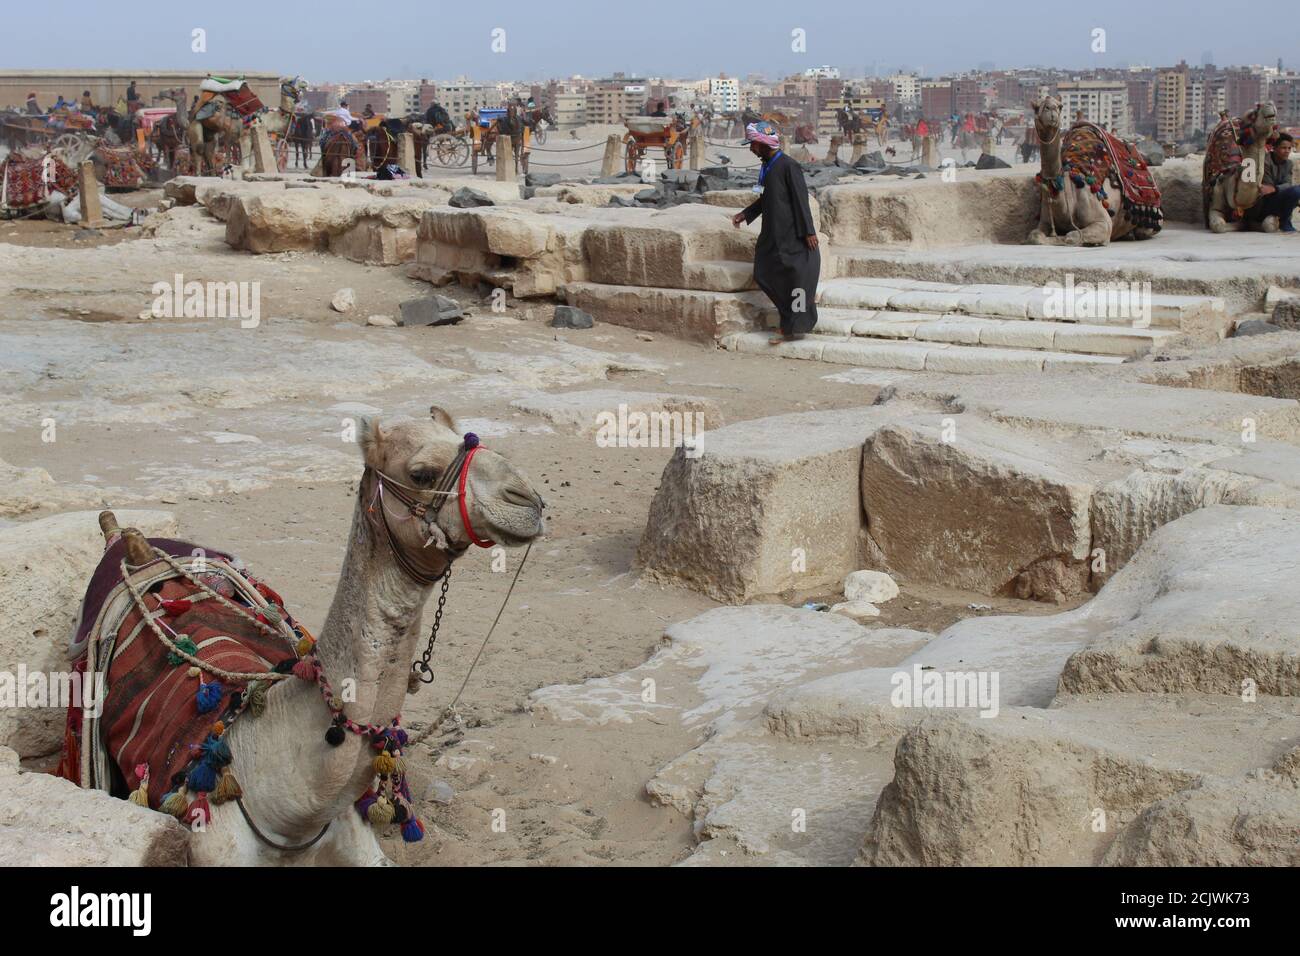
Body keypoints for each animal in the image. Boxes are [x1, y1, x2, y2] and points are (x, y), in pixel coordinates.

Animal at [1029, 95, 1164, 247]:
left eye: (1060, 106)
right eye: (1036, 107)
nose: (1051, 110)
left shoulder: (1103, 221)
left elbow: (1072, 236)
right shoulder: (1045, 221)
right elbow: (1034, 236)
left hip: (1153, 219)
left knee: (1143, 230)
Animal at [1206, 102, 1279, 232]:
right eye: (1251, 115)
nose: (1269, 103)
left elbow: (1269, 224)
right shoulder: (1217, 194)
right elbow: (1219, 225)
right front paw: (1237, 224)